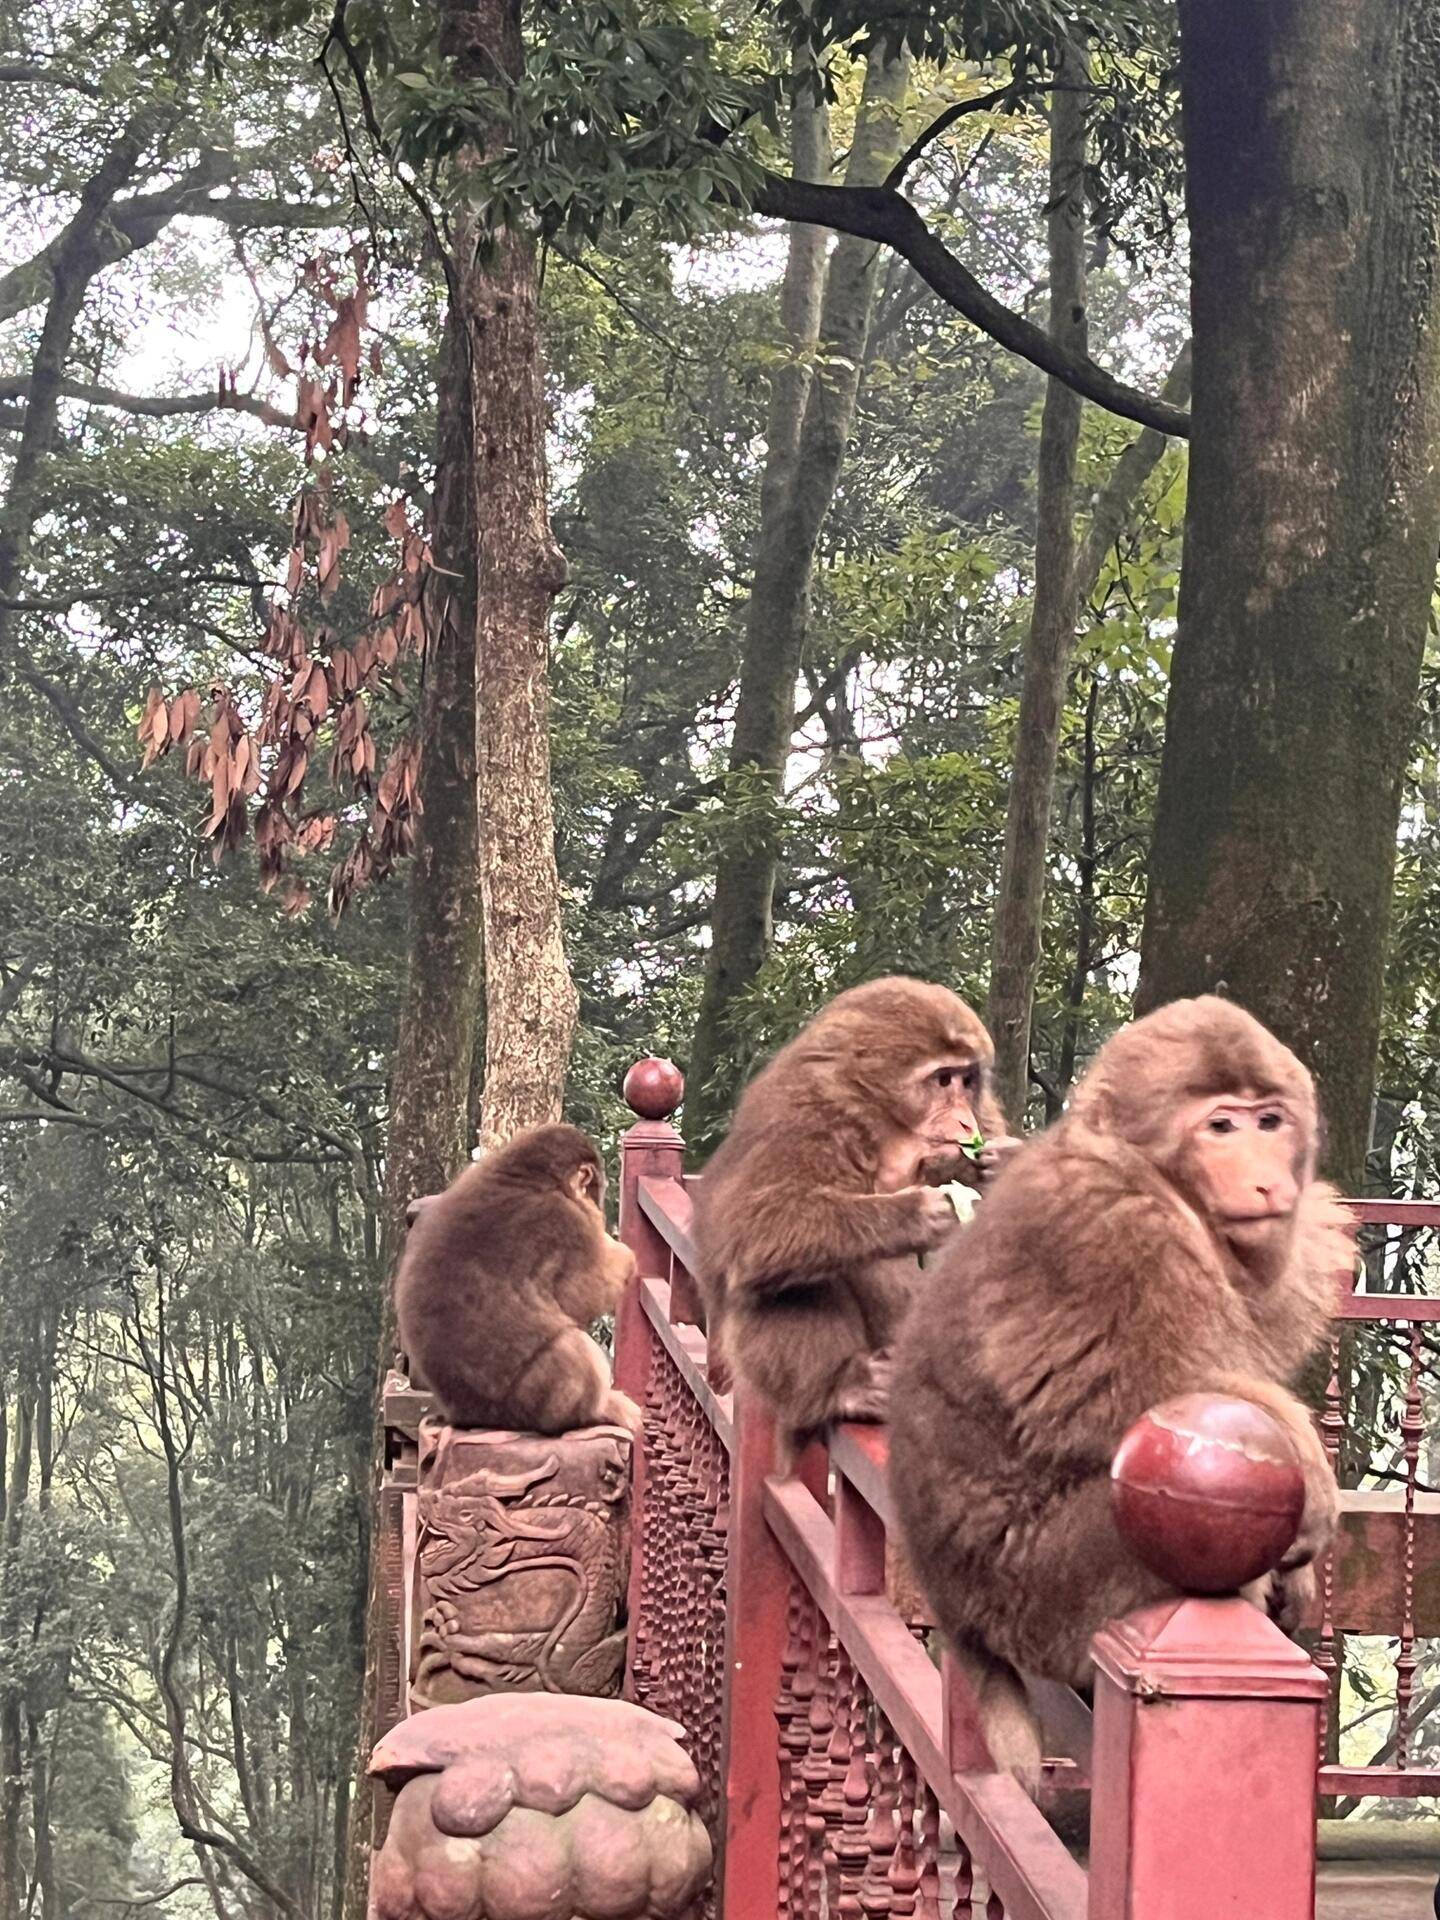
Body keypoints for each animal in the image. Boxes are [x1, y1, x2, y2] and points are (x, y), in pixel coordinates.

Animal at [395, 1121, 641, 1443]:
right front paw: (623, 1254)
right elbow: (581, 1295)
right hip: (529, 1404)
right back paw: (595, 1412)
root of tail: (470, 1415)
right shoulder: (568, 1222)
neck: (527, 1176)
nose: (596, 1205)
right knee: (572, 1343)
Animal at [695, 983, 1021, 1443]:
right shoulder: (809, 1113)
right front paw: (919, 1212)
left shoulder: (985, 1119)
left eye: (967, 1080)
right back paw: (842, 1386)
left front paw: (1006, 1163)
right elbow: (751, 1225)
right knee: (790, 1276)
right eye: (942, 1079)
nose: (963, 1121)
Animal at [890, 998, 1351, 1789]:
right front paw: (1314, 1488)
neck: (1165, 1181)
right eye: (1220, 1126)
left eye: (1269, 1120)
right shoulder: (1114, 1227)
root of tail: (958, 1615)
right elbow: (1156, 1388)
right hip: (1050, 1596)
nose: (1267, 1180)